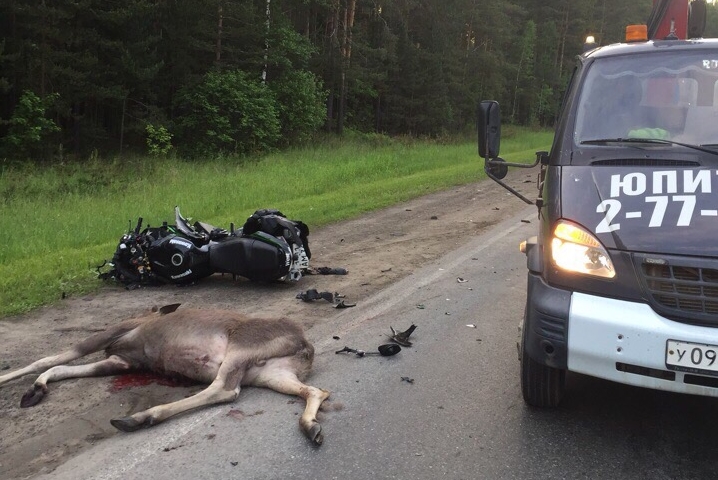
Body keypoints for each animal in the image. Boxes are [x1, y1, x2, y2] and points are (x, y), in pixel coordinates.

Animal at [0, 306, 332, 444]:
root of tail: (305, 346)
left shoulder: (113, 336)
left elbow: (47, 359)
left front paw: (19, 384)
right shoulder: (122, 362)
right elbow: (58, 367)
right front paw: (35, 390)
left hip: (241, 347)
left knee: (224, 389)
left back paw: (139, 417)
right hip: (271, 373)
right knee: (316, 390)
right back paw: (311, 427)